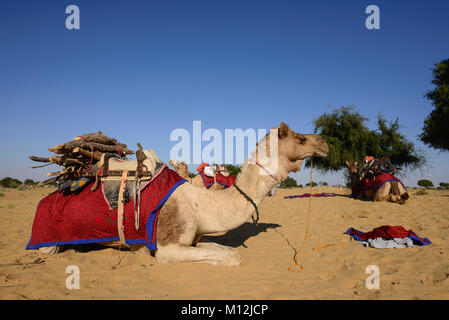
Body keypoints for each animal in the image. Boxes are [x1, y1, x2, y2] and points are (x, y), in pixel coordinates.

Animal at [40, 121, 328, 266]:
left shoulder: (194, 238)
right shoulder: (168, 247)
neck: (202, 203)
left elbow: (226, 250)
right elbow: (233, 256)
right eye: (301, 138)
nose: (324, 142)